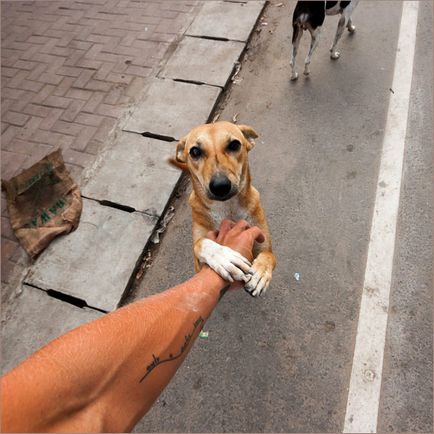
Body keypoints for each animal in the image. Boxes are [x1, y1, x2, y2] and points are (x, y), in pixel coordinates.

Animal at [169, 120, 274, 296]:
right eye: (195, 151)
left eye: (234, 145)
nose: (220, 186)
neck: (227, 208)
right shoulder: (198, 263)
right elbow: (201, 243)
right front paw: (223, 257)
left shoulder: (263, 243)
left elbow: (269, 256)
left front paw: (261, 273)